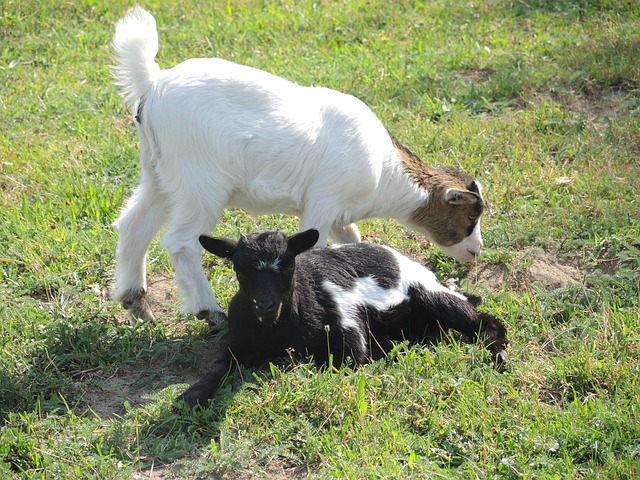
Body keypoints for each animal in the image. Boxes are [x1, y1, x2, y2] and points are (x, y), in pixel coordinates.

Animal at [111, 7, 486, 326]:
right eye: (470, 217)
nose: (476, 251)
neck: (384, 173)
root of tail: (152, 83)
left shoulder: (341, 216)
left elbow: (351, 241)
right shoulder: (323, 201)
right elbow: (314, 249)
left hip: (159, 173)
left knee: (134, 226)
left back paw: (136, 303)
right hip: (201, 182)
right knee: (181, 241)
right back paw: (209, 311)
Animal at [179, 229, 507, 409]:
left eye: (288, 264)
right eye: (239, 268)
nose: (266, 305)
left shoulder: (348, 328)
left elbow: (344, 362)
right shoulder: (236, 341)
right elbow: (218, 365)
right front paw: (193, 395)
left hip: (430, 294)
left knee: (484, 321)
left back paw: (499, 355)